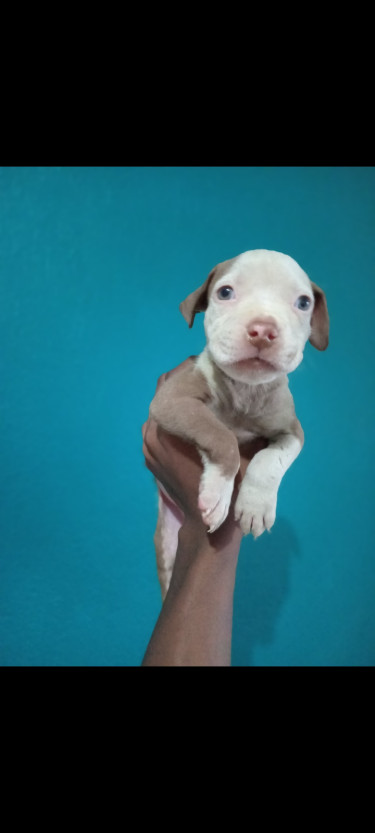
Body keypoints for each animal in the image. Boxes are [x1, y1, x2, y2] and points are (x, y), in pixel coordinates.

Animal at [148, 249, 330, 600]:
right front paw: (218, 493)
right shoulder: (172, 400)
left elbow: (271, 460)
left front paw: (255, 506)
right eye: (225, 292)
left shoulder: (292, 431)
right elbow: (221, 436)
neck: (245, 391)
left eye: (303, 302)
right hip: (164, 545)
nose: (263, 329)